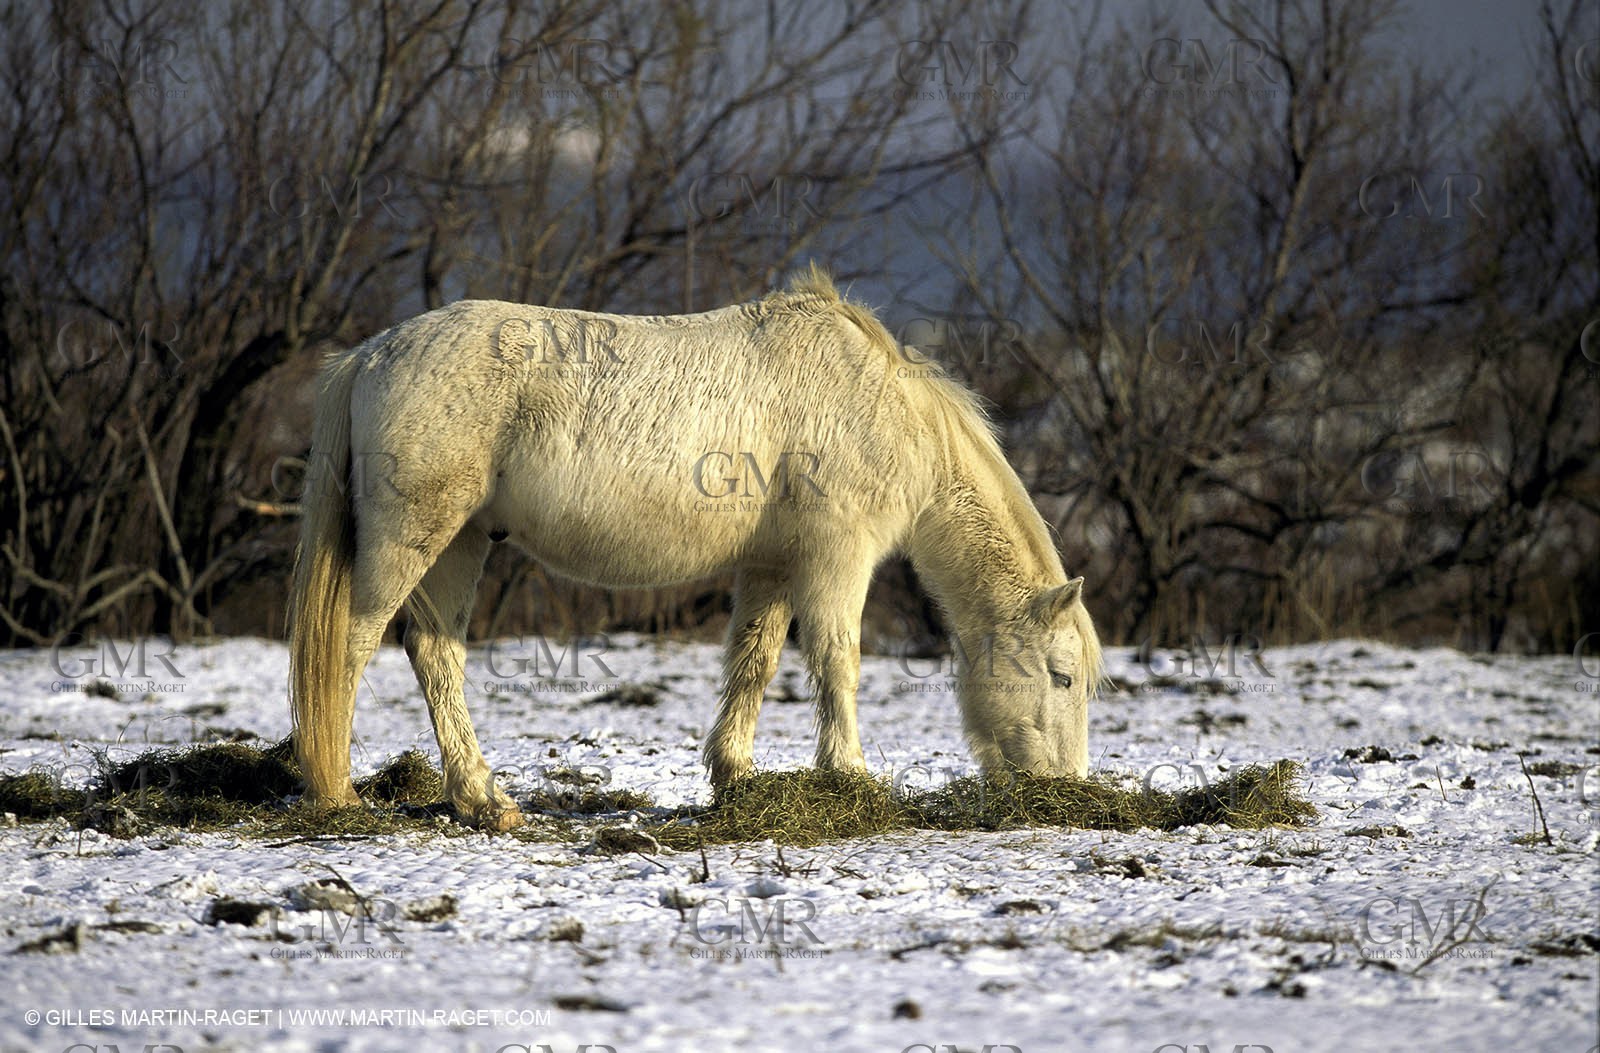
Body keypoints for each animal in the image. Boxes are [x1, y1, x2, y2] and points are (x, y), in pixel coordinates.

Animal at [288, 266, 1102, 829]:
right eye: (1061, 677)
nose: (1064, 787)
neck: (877, 405)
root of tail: (370, 355)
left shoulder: (773, 564)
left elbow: (755, 659)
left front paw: (733, 774)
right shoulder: (837, 559)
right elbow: (837, 660)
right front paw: (850, 775)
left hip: (459, 545)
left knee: (434, 652)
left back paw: (483, 799)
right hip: (412, 538)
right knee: (351, 647)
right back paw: (340, 793)